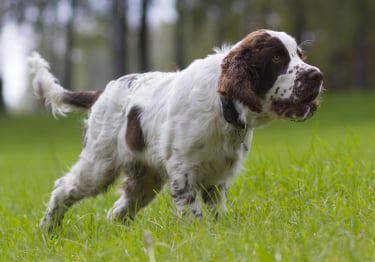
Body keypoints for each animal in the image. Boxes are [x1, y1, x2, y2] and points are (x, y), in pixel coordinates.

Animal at [28, 28, 324, 230]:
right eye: (276, 57)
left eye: (299, 55)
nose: (317, 75)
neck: (223, 106)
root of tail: (102, 93)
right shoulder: (183, 173)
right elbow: (193, 215)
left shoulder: (218, 178)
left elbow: (216, 214)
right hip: (99, 165)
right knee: (63, 187)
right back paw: (48, 230)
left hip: (145, 179)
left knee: (117, 211)